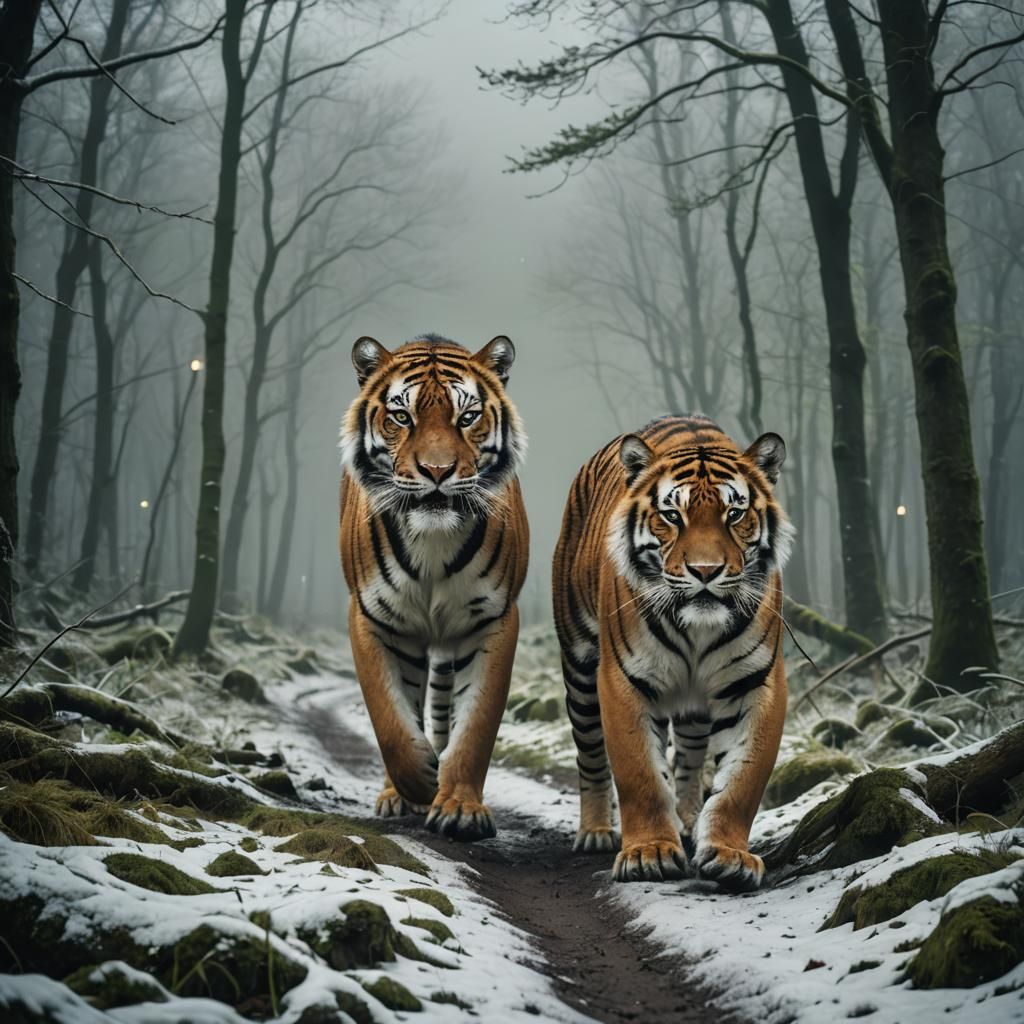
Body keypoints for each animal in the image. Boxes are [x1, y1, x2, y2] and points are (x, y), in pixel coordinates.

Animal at [338, 334, 528, 841]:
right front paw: (419, 781)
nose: (437, 471)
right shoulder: (373, 618)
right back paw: (396, 795)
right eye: (402, 417)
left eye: (468, 417)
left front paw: (459, 806)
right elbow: (389, 717)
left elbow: (476, 725)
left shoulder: (492, 620)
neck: (433, 540)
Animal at [552, 414, 794, 890]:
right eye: (672, 516)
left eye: (734, 514)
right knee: (590, 753)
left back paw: (687, 822)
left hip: (694, 702)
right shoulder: (622, 680)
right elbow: (640, 773)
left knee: (689, 754)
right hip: (580, 668)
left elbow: (742, 780)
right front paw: (648, 854)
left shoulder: (756, 682)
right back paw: (596, 832)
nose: (705, 571)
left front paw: (730, 855)